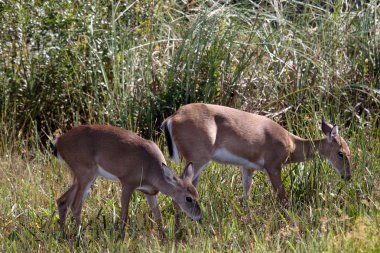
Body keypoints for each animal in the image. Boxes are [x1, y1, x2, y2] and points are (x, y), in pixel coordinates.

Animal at [54, 123, 202, 230]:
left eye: (197, 194)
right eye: (188, 198)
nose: (199, 216)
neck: (151, 169)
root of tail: (59, 142)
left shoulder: (150, 191)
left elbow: (158, 216)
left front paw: (164, 238)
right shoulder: (127, 183)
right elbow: (124, 216)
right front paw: (120, 238)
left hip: (83, 176)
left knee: (62, 201)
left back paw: (64, 234)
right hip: (85, 173)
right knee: (75, 205)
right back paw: (79, 239)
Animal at [160, 103, 350, 204]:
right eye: (341, 153)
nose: (347, 176)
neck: (291, 143)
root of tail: (172, 118)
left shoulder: (248, 167)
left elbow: (247, 192)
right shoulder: (273, 166)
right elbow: (282, 196)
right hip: (198, 158)